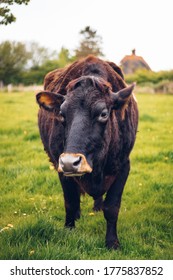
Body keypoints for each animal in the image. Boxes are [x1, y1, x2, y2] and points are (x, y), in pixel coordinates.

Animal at [35, 55, 139, 249]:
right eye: (61, 114)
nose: (70, 161)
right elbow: (70, 201)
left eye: (104, 114)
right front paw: (69, 230)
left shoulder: (123, 165)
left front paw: (112, 242)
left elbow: (112, 206)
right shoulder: (61, 166)